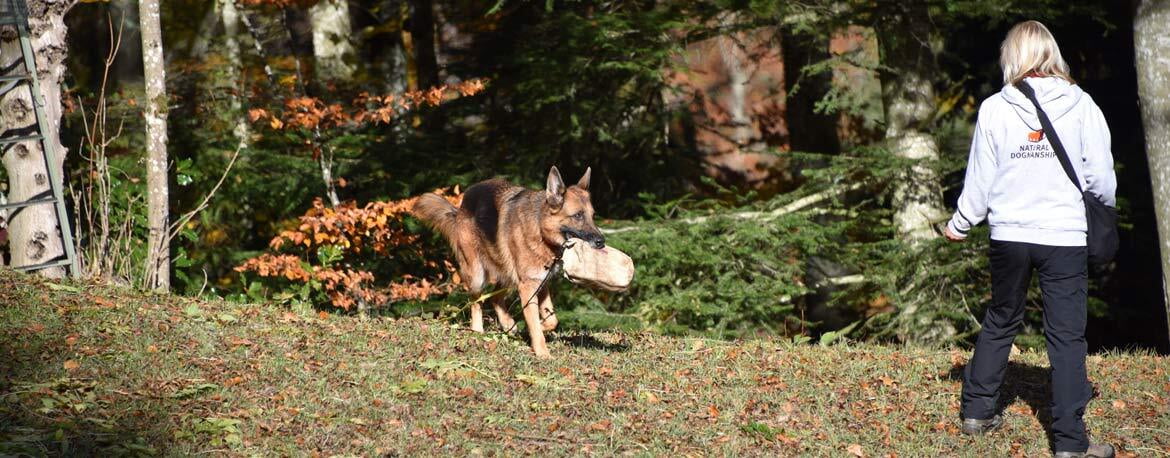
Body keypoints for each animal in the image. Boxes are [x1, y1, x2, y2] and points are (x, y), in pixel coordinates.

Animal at [411, 166, 603, 356]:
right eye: (578, 215)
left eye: (593, 215)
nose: (601, 242)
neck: (541, 230)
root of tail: (460, 208)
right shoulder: (527, 287)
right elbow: (535, 324)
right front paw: (542, 353)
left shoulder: (540, 283)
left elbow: (551, 320)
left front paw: (535, 330)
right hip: (477, 276)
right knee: (475, 301)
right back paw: (478, 330)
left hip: (507, 274)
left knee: (495, 298)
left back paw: (508, 325)